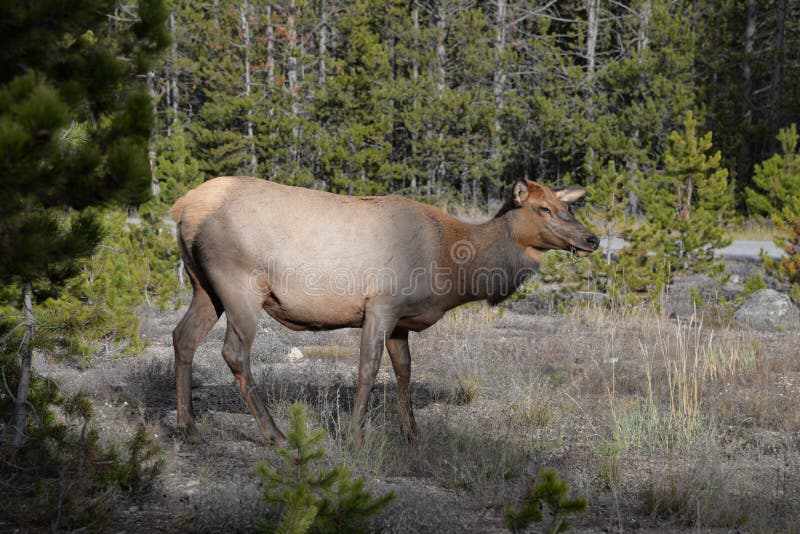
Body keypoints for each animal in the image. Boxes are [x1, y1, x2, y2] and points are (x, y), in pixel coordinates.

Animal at [169, 178, 596, 446]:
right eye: (543, 209)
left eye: (567, 206)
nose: (592, 238)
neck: (452, 265)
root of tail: (182, 209)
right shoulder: (380, 305)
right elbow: (369, 370)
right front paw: (354, 435)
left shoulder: (401, 320)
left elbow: (405, 370)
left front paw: (412, 432)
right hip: (240, 285)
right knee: (234, 352)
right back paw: (273, 434)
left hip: (205, 287)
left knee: (182, 337)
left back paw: (190, 428)